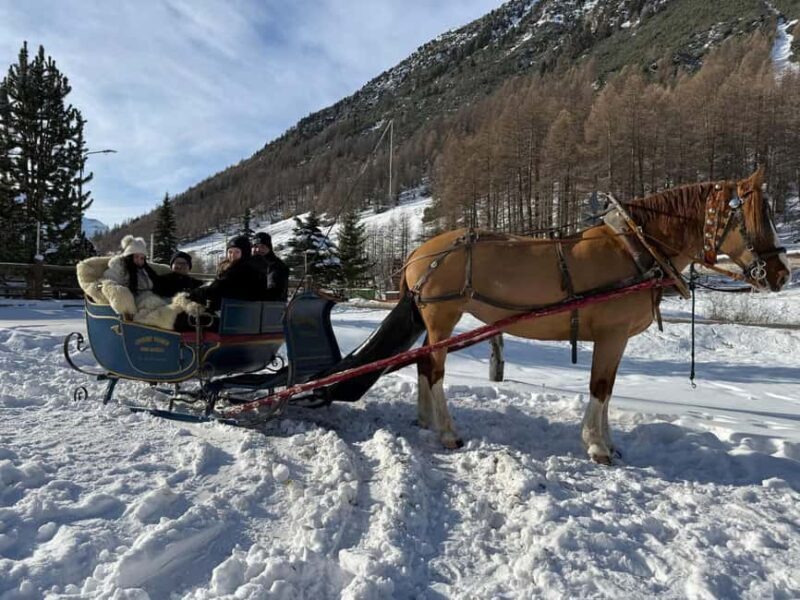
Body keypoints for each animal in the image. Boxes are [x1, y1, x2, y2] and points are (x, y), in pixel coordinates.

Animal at [400, 167, 790, 464]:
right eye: (756, 217)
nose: (782, 274)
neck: (635, 249)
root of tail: (418, 254)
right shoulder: (611, 335)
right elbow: (599, 387)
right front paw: (597, 445)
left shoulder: (616, 340)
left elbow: (610, 388)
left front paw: (610, 443)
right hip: (443, 317)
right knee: (434, 370)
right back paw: (448, 432)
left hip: (434, 321)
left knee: (421, 362)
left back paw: (425, 420)